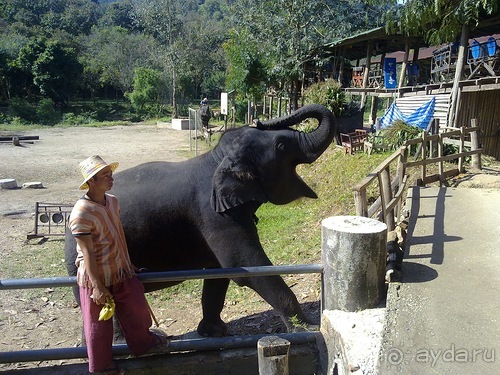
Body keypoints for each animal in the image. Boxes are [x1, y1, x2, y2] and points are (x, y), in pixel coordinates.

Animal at [63, 103, 336, 338]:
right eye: (281, 146)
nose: (259, 119)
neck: (216, 158)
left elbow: (222, 270)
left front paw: (215, 332)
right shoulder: (213, 214)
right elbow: (246, 265)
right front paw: (309, 328)